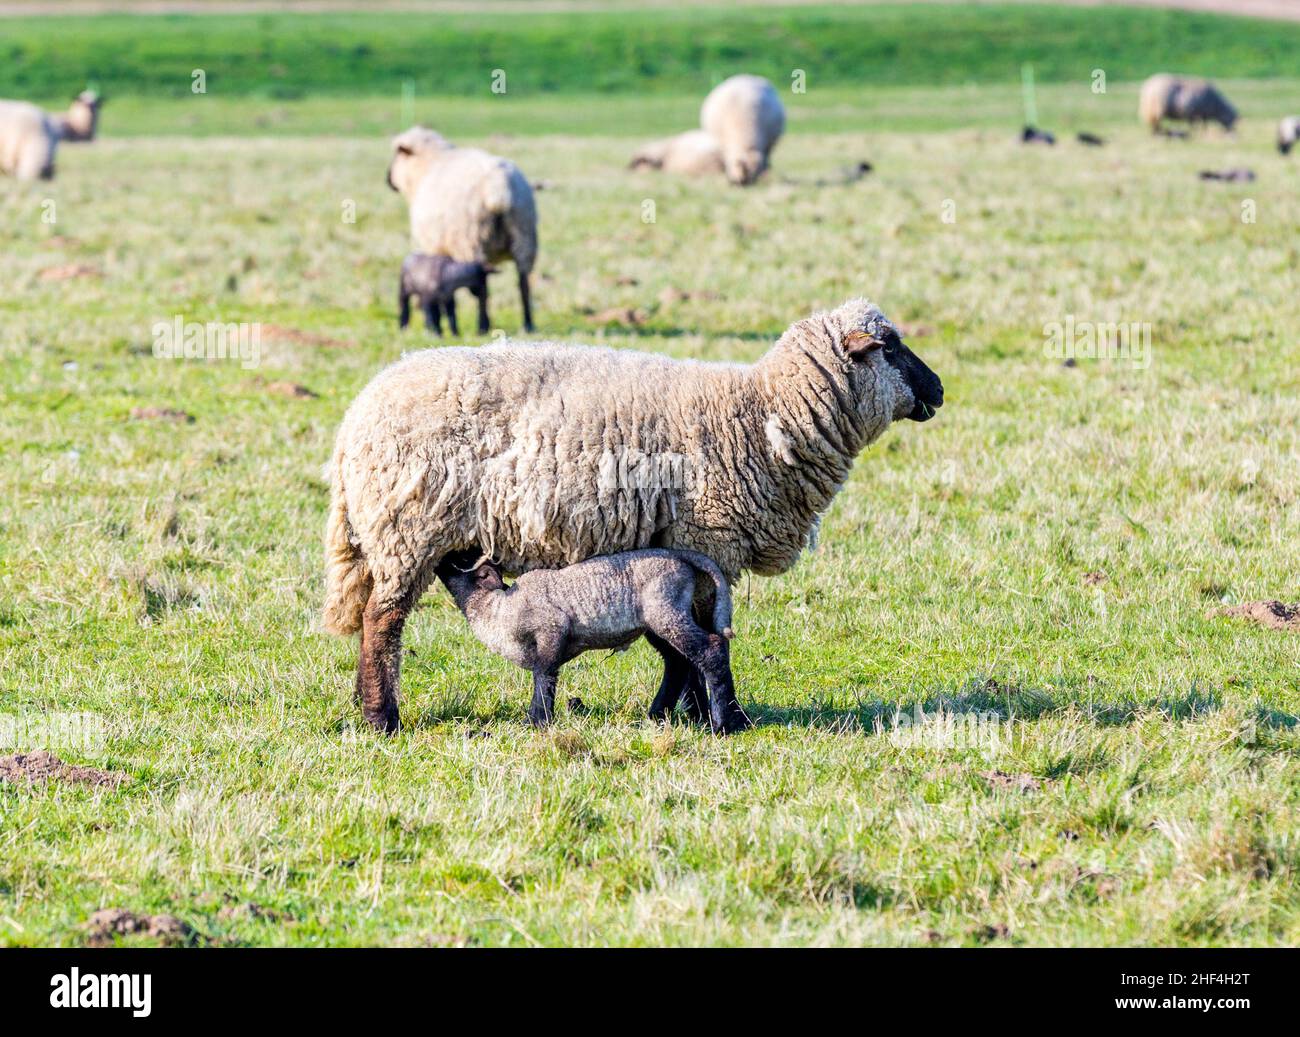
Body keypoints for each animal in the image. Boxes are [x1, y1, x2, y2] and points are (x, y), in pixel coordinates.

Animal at [387, 127, 537, 332]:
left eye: (398, 155)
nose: (388, 179)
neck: (428, 165)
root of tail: (498, 188)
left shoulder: (431, 245)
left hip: (471, 239)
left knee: (482, 287)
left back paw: (483, 325)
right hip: (524, 235)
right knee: (523, 282)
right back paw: (528, 323)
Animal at [436, 547, 739, 731]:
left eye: (462, 559)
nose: (442, 552)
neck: (495, 610)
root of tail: (679, 555)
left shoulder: (552, 628)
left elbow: (543, 674)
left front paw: (537, 721)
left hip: (666, 610)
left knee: (710, 650)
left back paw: (724, 724)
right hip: (655, 622)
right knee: (678, 662)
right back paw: (656, 715)